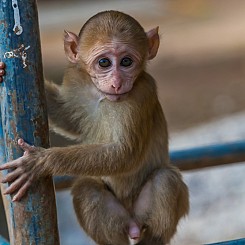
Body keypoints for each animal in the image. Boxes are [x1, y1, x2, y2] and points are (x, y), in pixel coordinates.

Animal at [0, 10, 189, 245]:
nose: (117, 82)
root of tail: (133, 222)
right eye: (104, 62)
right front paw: (1, 70)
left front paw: (40, 162)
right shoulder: (76, 81)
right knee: (87, 189)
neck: (102, 95)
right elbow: (66, 117)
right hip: (119, 217)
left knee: (165, 180)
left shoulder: (141, 93)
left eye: (126, 61)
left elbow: (124, 153)